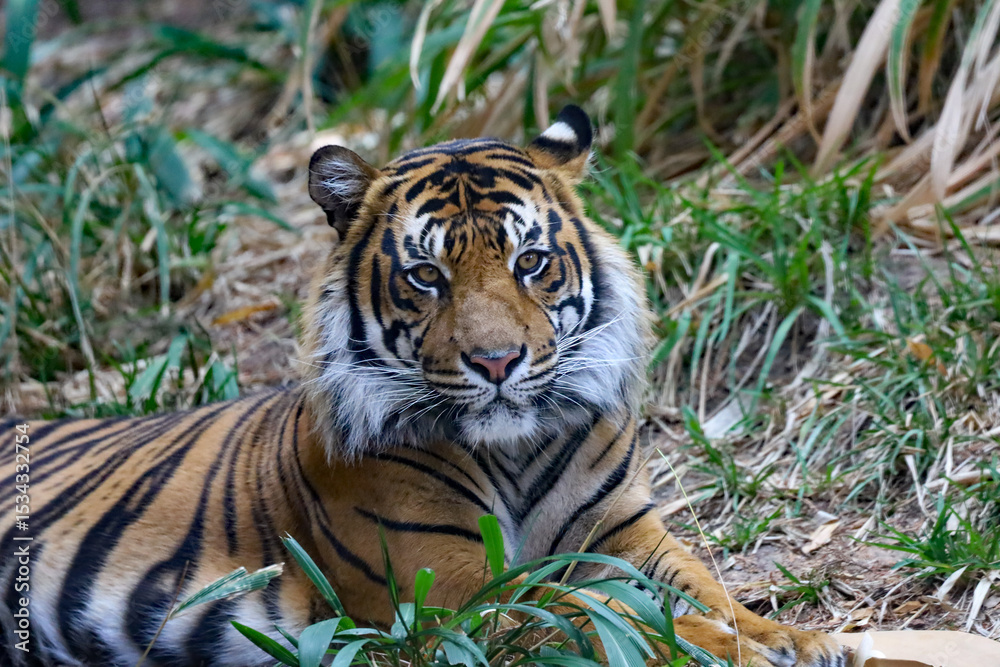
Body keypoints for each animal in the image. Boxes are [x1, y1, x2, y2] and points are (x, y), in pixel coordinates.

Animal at [1, 105, 846, 667]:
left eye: (529, 262)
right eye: (426, 276)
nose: (498, 362)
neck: (515, 448)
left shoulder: (624, 534)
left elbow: (708, 589)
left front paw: (800, 639)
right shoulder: (451, 585)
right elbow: (601, 613)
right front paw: (725, 651)